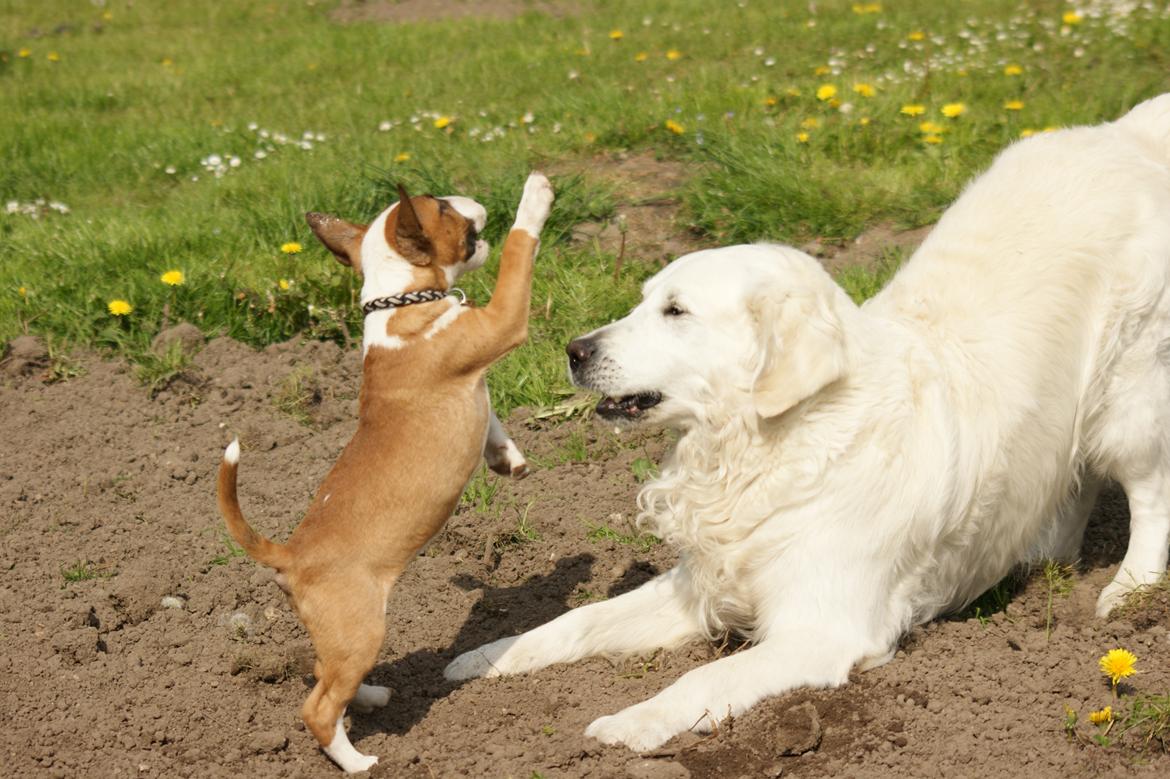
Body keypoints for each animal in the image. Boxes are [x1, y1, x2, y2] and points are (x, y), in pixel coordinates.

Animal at [217, 171, 554, 771]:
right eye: (442, 205)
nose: (472, 197)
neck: (398, 300)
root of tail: (290, 554)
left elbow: (491, 416)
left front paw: (507, 458)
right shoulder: (500, 323)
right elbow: (519, 249)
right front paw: (534, 196)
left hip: (340, 638)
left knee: (323, 673)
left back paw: (371, 695)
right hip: (360, 630)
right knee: (317, 708)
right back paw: (357, 761)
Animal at [442, 94, 1170, 748]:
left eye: (676, 311)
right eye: (643, 300)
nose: (574, 350)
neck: (769, 451)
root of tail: (1125, 130)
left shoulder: (823, 629)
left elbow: (703, 679)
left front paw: (632, 723)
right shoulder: (697, 584)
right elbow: (578, 620)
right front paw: (488, 656)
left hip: (1126, 394)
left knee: (1148, 490)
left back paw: (1127, 592)